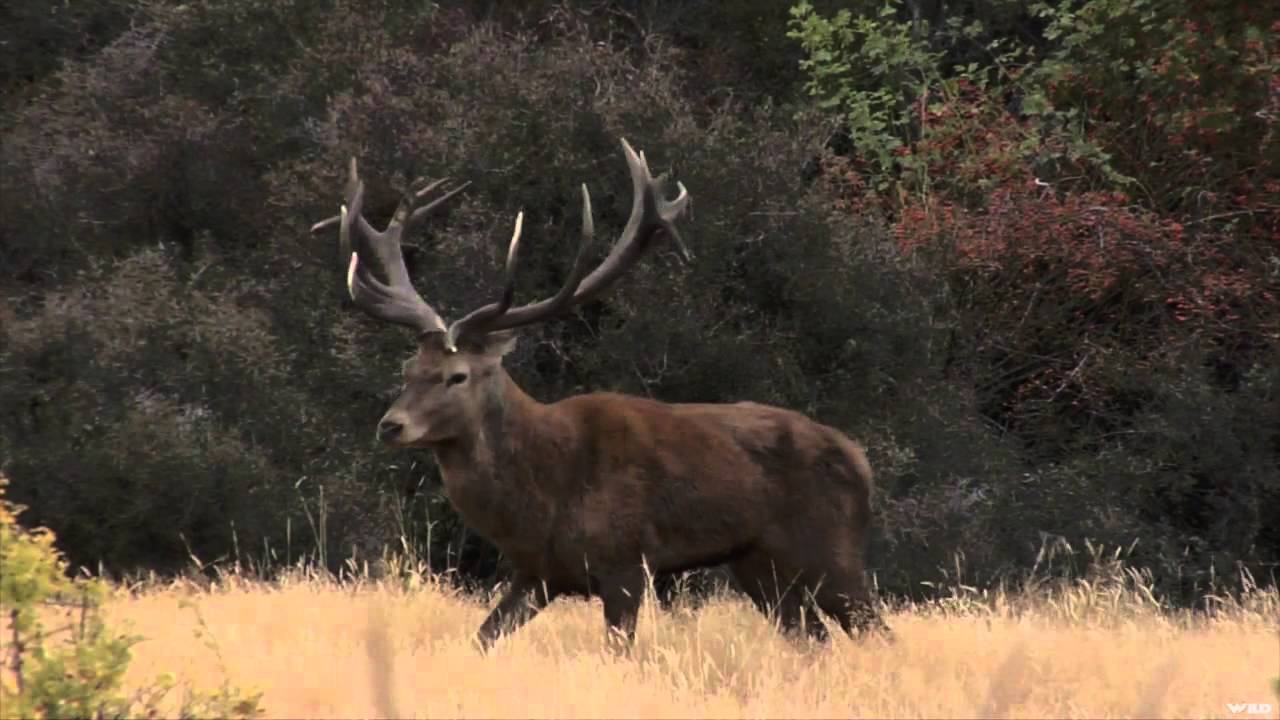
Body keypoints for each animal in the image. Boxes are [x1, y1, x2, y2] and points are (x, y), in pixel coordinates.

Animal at [311, 138, 889, 652]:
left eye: (458, 375)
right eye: (409, 367)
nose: (391, 424)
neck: (543, 496)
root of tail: (860, 459)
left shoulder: (625, 562)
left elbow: (619, 650)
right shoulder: (536, 572)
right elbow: (481, 639)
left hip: (833, 549)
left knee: (875, 630)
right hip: (758, 565)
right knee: (814, 639)